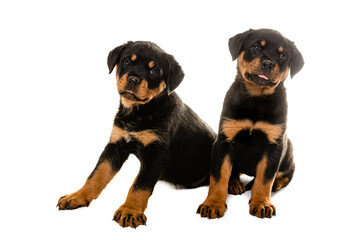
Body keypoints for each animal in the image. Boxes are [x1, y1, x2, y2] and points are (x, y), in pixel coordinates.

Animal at [58, 40, 217, 227]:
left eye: (154, 71)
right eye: (127, 61)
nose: (133, 79)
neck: (139, 112)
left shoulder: (156, 153)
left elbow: (140, 185)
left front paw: (130, 211)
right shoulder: (116, 145)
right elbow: (97, 174)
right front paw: (77, 196)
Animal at [197, 29, 304, 218]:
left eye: (283, 55)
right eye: (255, 47)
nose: (268, 63)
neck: (257, 99)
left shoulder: (274, 145)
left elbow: (265, 179)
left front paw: (262, 203)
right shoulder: (225, 141)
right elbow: (219, 176)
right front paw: (213, 203)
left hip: (288, 152)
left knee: (285, 175)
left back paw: (275, 185)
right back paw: (234, 183)